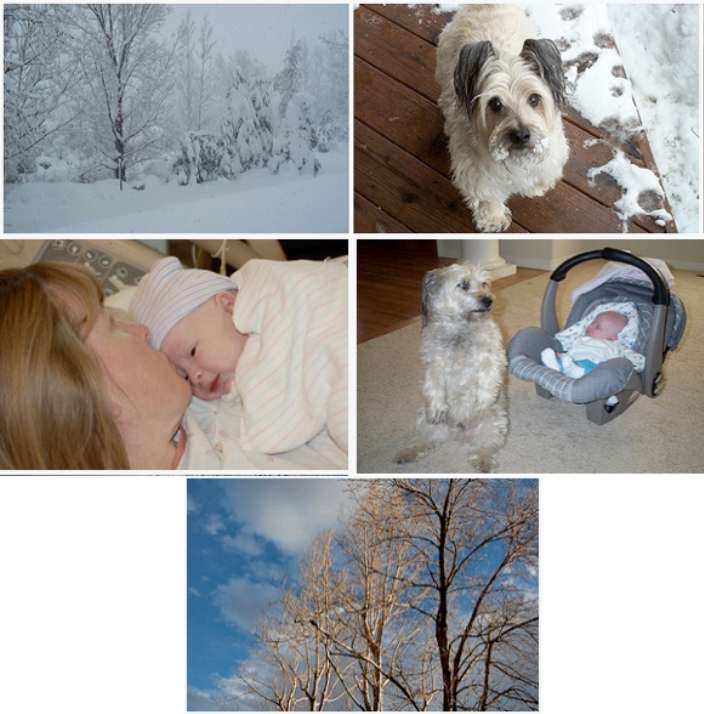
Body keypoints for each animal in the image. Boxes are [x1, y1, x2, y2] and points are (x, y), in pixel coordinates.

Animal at [394, 258, 508, 470]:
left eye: (484, 283)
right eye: (463, 285)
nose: (488, 300)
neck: (461, 328)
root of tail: (459, 433)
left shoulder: (493, 354)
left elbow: (488, 375)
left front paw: (483, 399)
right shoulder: (434, 361)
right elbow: (432, 384)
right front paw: (437, 406)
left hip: (494, 424)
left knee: (485, 446)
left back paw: (483, 461)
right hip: (424, 420)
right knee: (421, 440)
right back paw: (407, 453)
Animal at [438, 6, 568, 234]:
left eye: (534, 99)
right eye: (495, 104)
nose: (521, 135)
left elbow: (543, 172)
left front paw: (536, 186)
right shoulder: (477, 173)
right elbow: (487, 195)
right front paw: (493, 217)